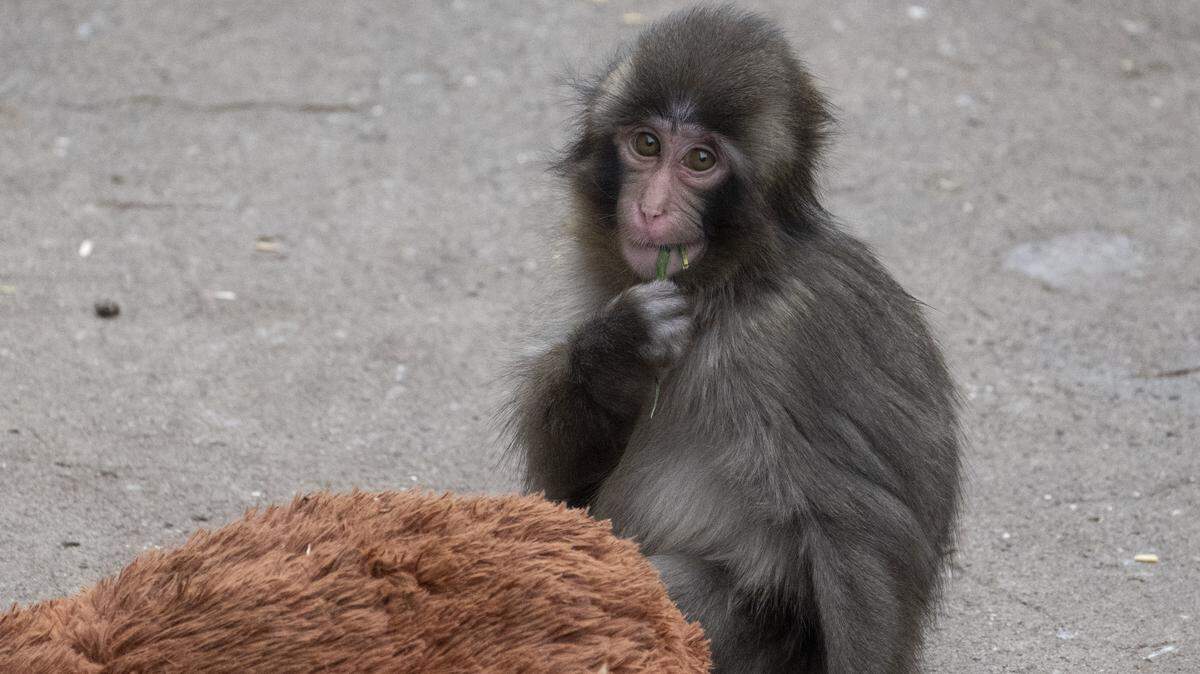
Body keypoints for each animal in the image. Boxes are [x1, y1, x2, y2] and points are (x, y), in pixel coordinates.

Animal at [506, 7, 962, 673]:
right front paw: (619, 349)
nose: (651, 209)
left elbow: (864, 535)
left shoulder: (790, 342)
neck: (730, 287)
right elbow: (564, 496)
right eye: (647, 145)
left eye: (700, 160)